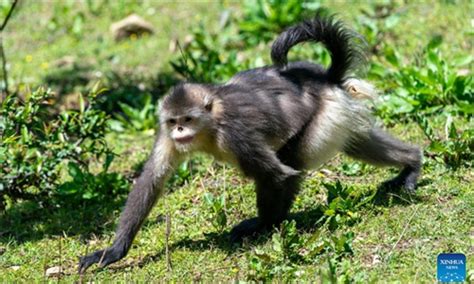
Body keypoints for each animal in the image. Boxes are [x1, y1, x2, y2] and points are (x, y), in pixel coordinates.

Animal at [78, 13, 422, 272]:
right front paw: (113, 251)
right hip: (339, 114)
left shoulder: (235, 135)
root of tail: (325, 78)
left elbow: (278, 173)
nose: (180, 131)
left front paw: (264, 227)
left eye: (187, 119)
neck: (210, 124)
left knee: (290, 160)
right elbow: (151, 179)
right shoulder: (166, 136)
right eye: (174, 122)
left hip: (325, 115)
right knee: (356, 141)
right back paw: (412, 162)